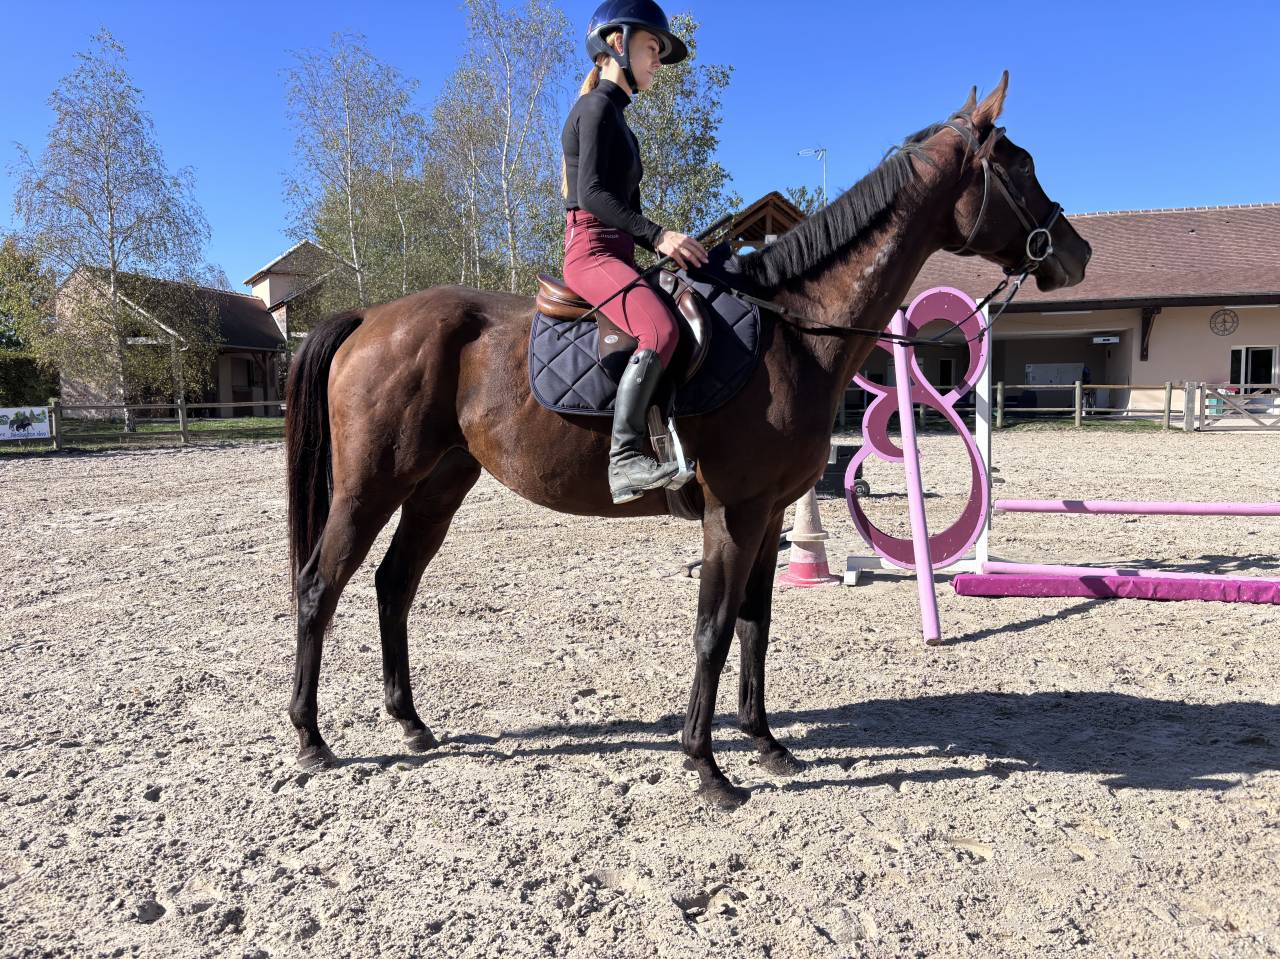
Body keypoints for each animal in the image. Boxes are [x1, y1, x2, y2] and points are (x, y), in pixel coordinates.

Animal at [284, 74, 1091, 809]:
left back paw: (411, 723)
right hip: (370, 485)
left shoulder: (770, 514)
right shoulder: (731, 515)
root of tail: (370, 318)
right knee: (320, 585)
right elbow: (713, 629)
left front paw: (766, 743)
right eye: (1019, 164)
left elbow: (756, 625)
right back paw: (312, 738)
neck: (792, 329)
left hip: (438, 485)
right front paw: (707, 767)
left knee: (394, 584)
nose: (1074, 252)